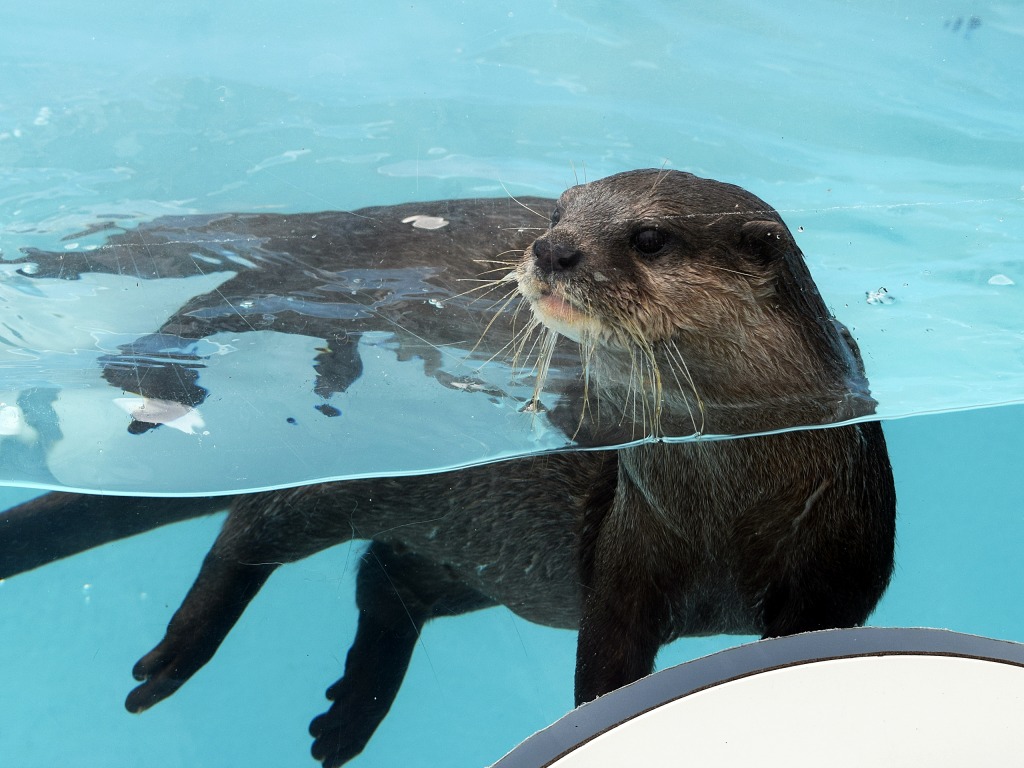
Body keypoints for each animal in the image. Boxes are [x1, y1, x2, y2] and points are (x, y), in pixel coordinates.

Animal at [0, 169, 897, 768]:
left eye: (648, 238)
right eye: (561, 210)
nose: (549, 246)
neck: (732, 511)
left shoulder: (840, 571)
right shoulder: (628, 560)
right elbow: (607, 667)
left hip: (490, 563)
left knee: (386, 577)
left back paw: (349, 713)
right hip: (348, 489)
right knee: (248, 531)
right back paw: (176, 652)